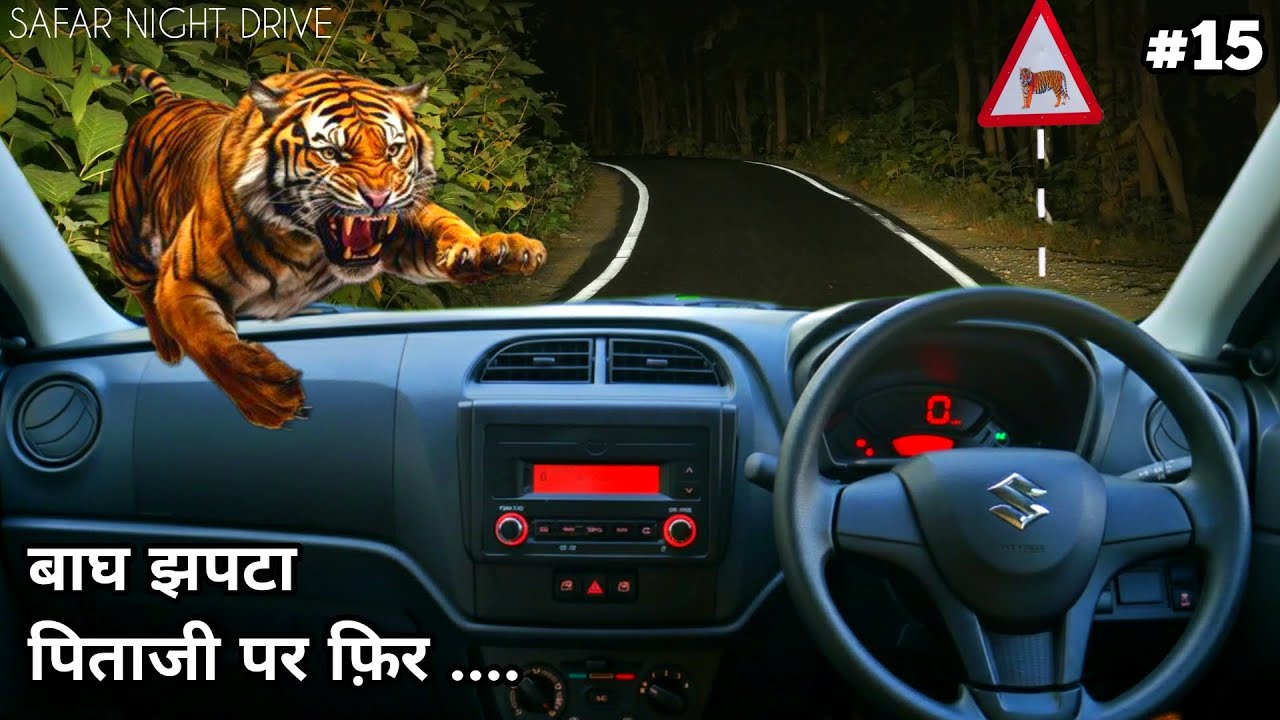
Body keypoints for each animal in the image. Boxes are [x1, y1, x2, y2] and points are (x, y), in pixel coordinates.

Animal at [103, 65, 547, 429]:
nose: (379, 198)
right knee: (143, 291)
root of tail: (172, 100)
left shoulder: (404, 229)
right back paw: (166, 347)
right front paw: (270, 397)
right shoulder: (183, 277)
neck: (305, 243)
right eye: (331, 153)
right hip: (128, 242)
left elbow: (447, 226)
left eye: (393, 149)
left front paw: (499, 249)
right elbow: (209, 340)